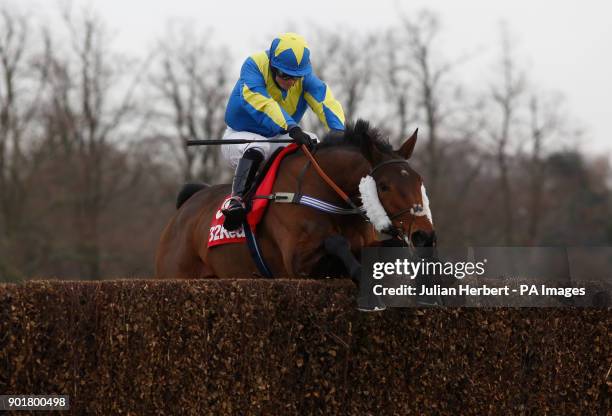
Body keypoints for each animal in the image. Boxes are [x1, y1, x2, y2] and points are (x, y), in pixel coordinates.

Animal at [155, 118, 438, 284]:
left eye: (419, 180)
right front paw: (359, 273)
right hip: (176, 274)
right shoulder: (297, 262)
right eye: (384, 186)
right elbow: (337, 242)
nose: (424, 235)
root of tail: (186, 205)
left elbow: (389, 246)